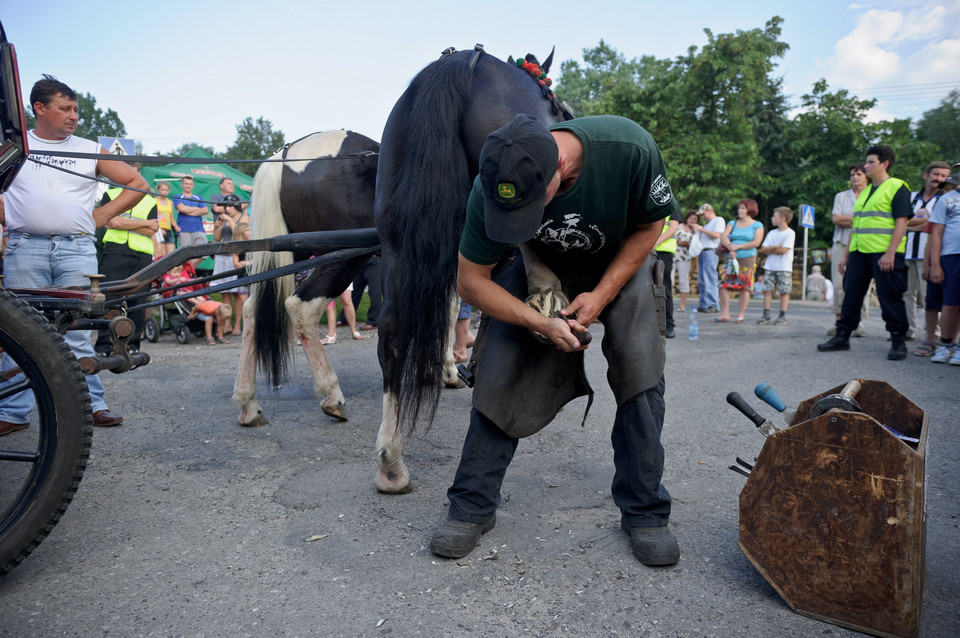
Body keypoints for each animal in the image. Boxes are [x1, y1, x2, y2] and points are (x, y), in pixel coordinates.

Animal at [374, 46, 572, 496]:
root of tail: (463, 63)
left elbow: (450, 306)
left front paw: (448, 368)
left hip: (397, 239)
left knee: (392, 331)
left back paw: (391, 461)